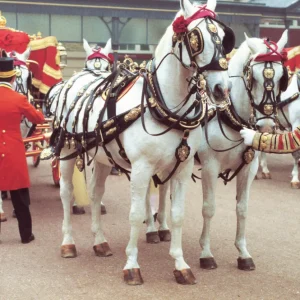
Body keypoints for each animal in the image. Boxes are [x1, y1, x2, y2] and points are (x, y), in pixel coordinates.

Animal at [54, 0, 231, 284]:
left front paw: (181, 264)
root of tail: (79, 77)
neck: (162, 105)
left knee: (95, 193)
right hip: (67, 151)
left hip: (104, 157)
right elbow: (136, 215)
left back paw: (100, 241)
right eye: (196, 37)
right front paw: (132, 265)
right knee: (66, 192)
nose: (221, 89)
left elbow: (177, 215)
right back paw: (68, 242)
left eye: (225, 38)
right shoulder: (141, 168)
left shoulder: (182, 168)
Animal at [146, 31, 290, 270]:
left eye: (281, 78)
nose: (267, 126)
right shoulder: (210, 167)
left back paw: (164, 227)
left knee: (165, 188)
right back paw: (150, 228)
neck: (232, 118)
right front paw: (206, 253)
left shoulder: (248, 169)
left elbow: (242, 209)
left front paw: (243, 253)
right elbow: (209, 208)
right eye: (253, 77)